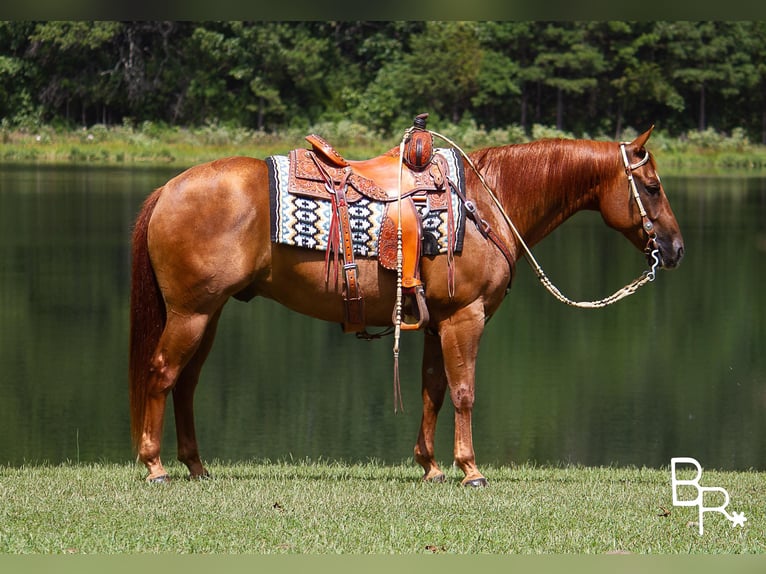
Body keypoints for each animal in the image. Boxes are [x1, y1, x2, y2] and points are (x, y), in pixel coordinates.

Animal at [129, 125, 688, 486]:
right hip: (191, 314)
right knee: (161, 374)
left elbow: (433, 390)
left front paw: (431, 465)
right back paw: (155, 466)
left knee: (186, 384)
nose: (676, 249)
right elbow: (463, 393)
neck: (487, 201)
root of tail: (167, 187)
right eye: (652, 187)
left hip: (210, 314)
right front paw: (470, 470)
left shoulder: (439, 322)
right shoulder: (466, 318)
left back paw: (196, 466)